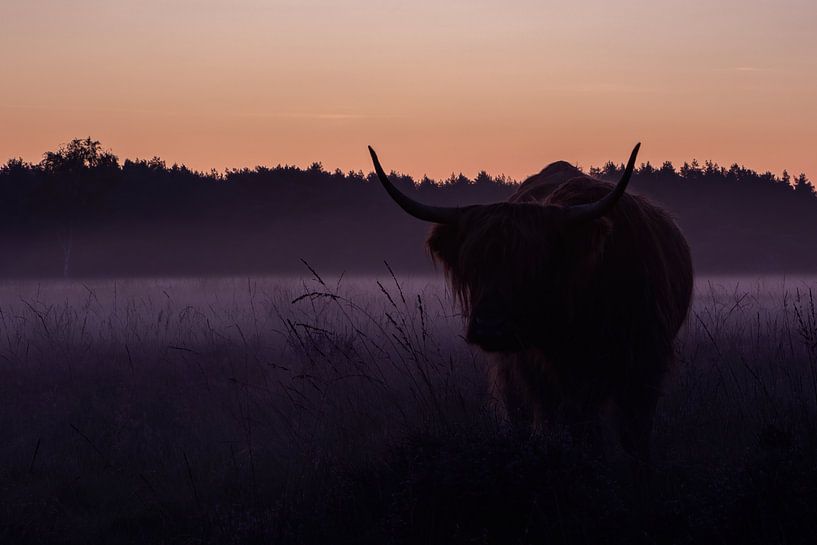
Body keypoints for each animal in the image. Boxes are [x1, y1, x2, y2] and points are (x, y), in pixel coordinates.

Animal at [370, 144, 696, 468]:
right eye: (472, 265)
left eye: (534, 265)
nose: (490, 327)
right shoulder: (553, 374)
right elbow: (581, 430)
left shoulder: (646, 364)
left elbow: (634, 435)